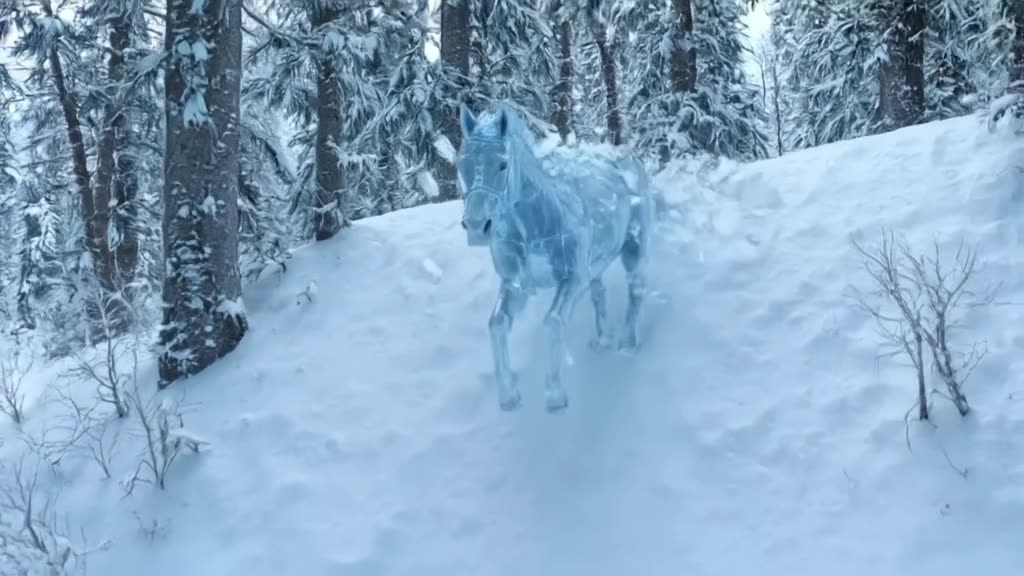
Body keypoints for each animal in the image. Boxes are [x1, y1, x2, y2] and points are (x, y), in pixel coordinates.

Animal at [455, 101, 656, 413]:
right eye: (461, 164)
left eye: (502, 163)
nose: (477, 227)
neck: (537, 224)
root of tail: (626, 154)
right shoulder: (515, 284)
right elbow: (497, 324)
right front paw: (509, 396)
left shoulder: (572, 279)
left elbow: (552, 322)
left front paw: (555, 397)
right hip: (597, 262)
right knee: (599, 292)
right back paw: (602, 340)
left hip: (635, 246)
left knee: (636, 288)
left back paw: (627, 344)